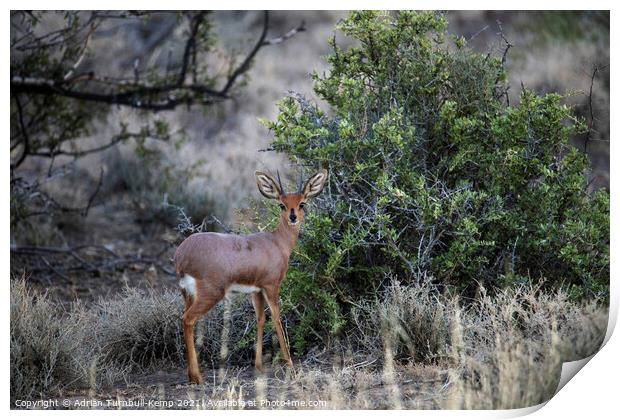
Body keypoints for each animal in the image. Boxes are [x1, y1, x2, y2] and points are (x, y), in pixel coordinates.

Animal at [173, 168, 330, 384]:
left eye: (302, 203)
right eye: (282, 204)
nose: (293, 217)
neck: (276, 243)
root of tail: (182, 253)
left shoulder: (256, 291)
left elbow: (261, 319)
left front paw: (259, 366)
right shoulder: (272, 286)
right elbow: (277, 318)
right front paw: (290, 364)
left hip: (187, 295)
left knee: (185, 319)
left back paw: (191, 375)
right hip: (210, 294)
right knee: (187, 319)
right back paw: (197, 377)